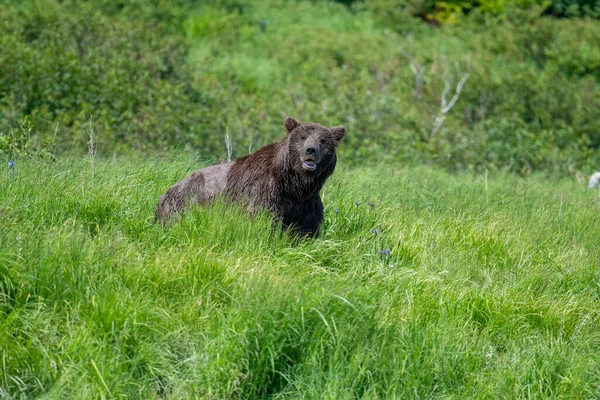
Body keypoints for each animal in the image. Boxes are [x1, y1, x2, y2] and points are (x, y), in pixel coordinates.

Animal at [152, 117, 344, 238]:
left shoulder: (306, 204)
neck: (294, 186)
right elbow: (263, 220)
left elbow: (306, 228)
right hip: (187, 200)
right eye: (302, 137)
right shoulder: (264, 193)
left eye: (322, 140)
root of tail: (163, 195)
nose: (310, 150)